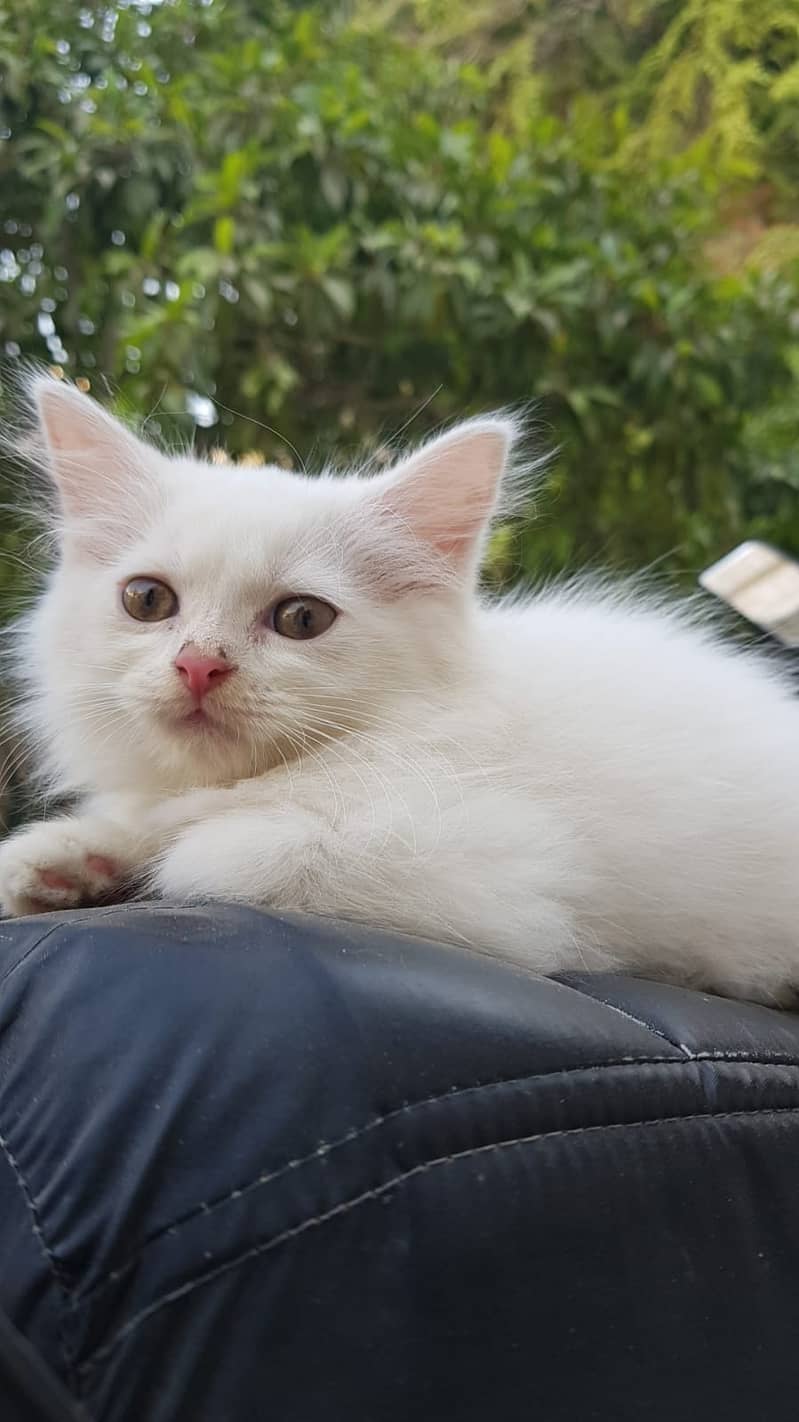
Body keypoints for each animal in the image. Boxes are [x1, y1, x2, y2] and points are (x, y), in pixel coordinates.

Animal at [1, 372, 796, 1006]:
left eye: (301, 619)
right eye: (146, 600)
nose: (199, 665)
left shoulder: (506, 879)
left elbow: (228, 851)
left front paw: (166, 852)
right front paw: (66, 861)